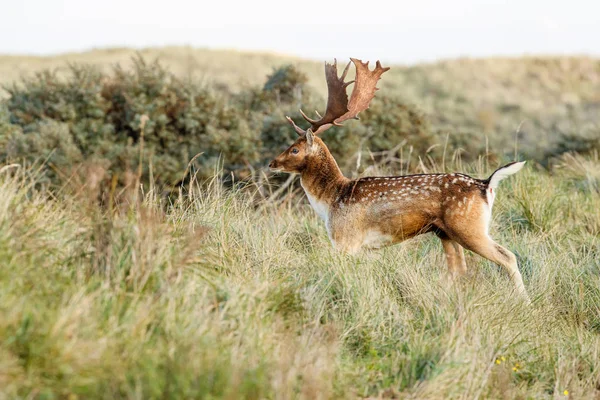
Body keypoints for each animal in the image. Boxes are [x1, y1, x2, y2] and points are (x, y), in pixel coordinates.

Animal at [270, 57, 528, 304]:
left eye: (294, 149)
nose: (272, 163)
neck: (331, 199)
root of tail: (486, 185)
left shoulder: (346, 240)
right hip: (445, 232)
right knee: (459, 270)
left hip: (468, 226)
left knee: (507, 256)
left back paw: (524, 302)